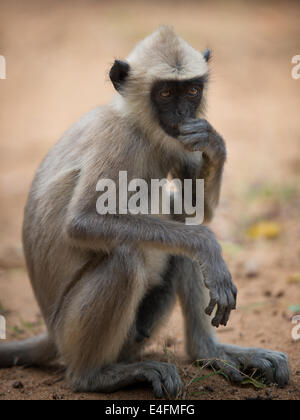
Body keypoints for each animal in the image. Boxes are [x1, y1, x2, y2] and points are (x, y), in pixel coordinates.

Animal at [0, 27, 288, 398]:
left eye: (191, 91)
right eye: (165, 93)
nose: (181, 115)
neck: (139, 126)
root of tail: (52, 334)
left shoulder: (177, 139)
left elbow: (195, 211)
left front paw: (214, 143)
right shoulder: (117, 139)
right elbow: (82, 223)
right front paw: (208, 245)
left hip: (134, 333)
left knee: (176, 222)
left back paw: (209, 353)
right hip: (70, 331)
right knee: (126, 257)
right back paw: (92, 377)